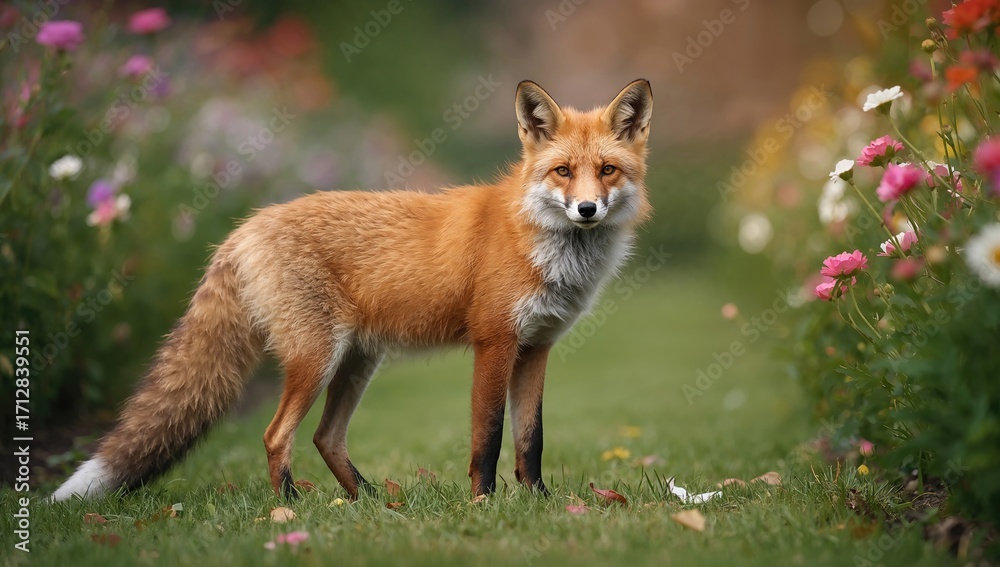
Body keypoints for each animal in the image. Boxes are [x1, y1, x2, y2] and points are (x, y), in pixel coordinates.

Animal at [52, 78, 654, 502]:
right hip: (316, 356)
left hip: (358, 359)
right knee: (277, 434)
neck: (542, 244)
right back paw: (290, 508)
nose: (587, 209)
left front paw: (539, 503)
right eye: (562, 171)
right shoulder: (494, 342)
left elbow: (531, 439)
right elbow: (488, 437)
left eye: (606, 170)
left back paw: (370, 502)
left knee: (326, 436)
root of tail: (244, 227)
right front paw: (484, 504)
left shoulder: (536, 348)